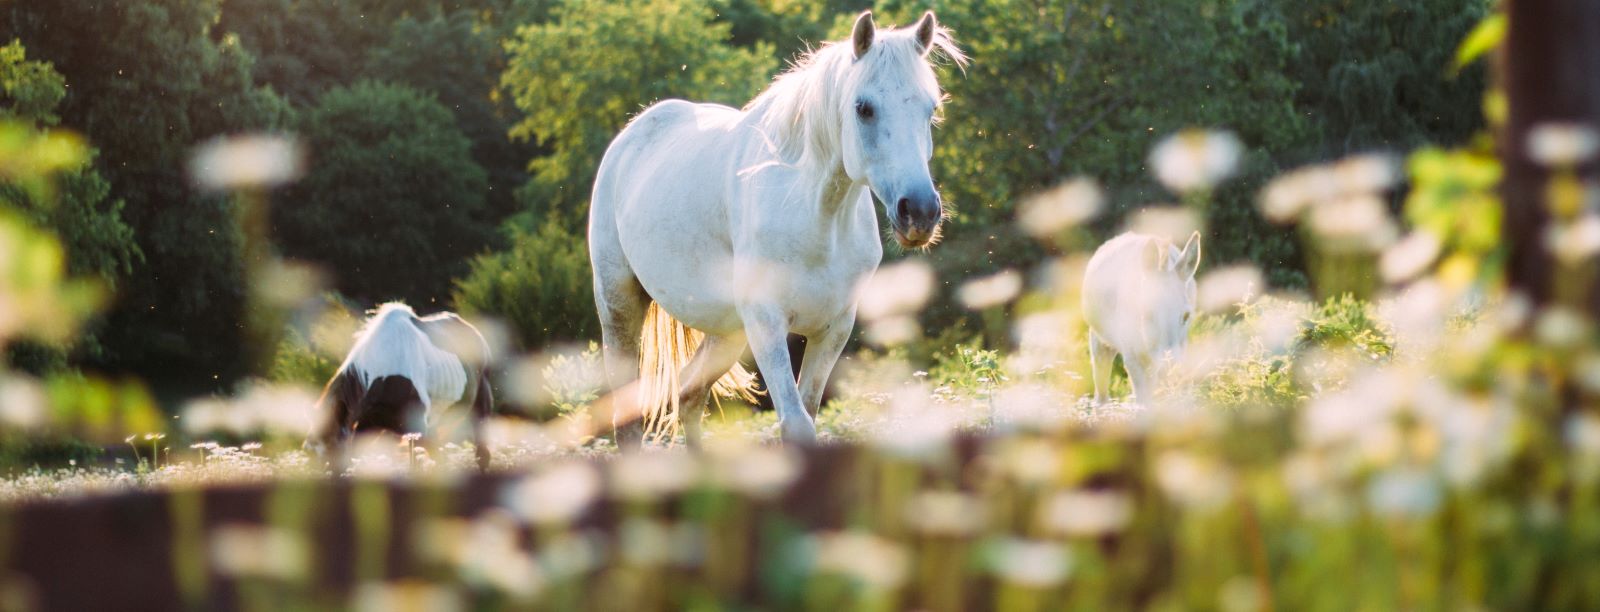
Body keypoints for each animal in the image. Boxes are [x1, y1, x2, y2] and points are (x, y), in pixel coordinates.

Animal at [588, 11, 960, 448]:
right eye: (863, 108)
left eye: (929, 109)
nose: (919, 212)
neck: (816, 221)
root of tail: (632, 134)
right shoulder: (767, 323)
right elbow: (796, 423)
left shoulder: (833, 329)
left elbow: (809, 411)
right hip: (619, 305)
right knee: (628, 416)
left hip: (728, 332)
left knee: (691, 394)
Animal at [1081, 232, 1203, 403]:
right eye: (1147, 313)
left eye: (1186, 316)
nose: (1170, 372)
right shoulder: (1133, 360)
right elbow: (1144, 405)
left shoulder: (1181, 353)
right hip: (1100, 342)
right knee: (1101, 394)